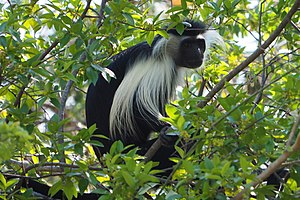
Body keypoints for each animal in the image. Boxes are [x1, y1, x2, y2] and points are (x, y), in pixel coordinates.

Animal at [85, 19, 224, 171]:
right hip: (134, 154)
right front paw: (166, 130)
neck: (164, 50)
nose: (198, 53)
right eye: (187, 45)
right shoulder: (160, 67)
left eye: (199, 44)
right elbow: (137, 106)